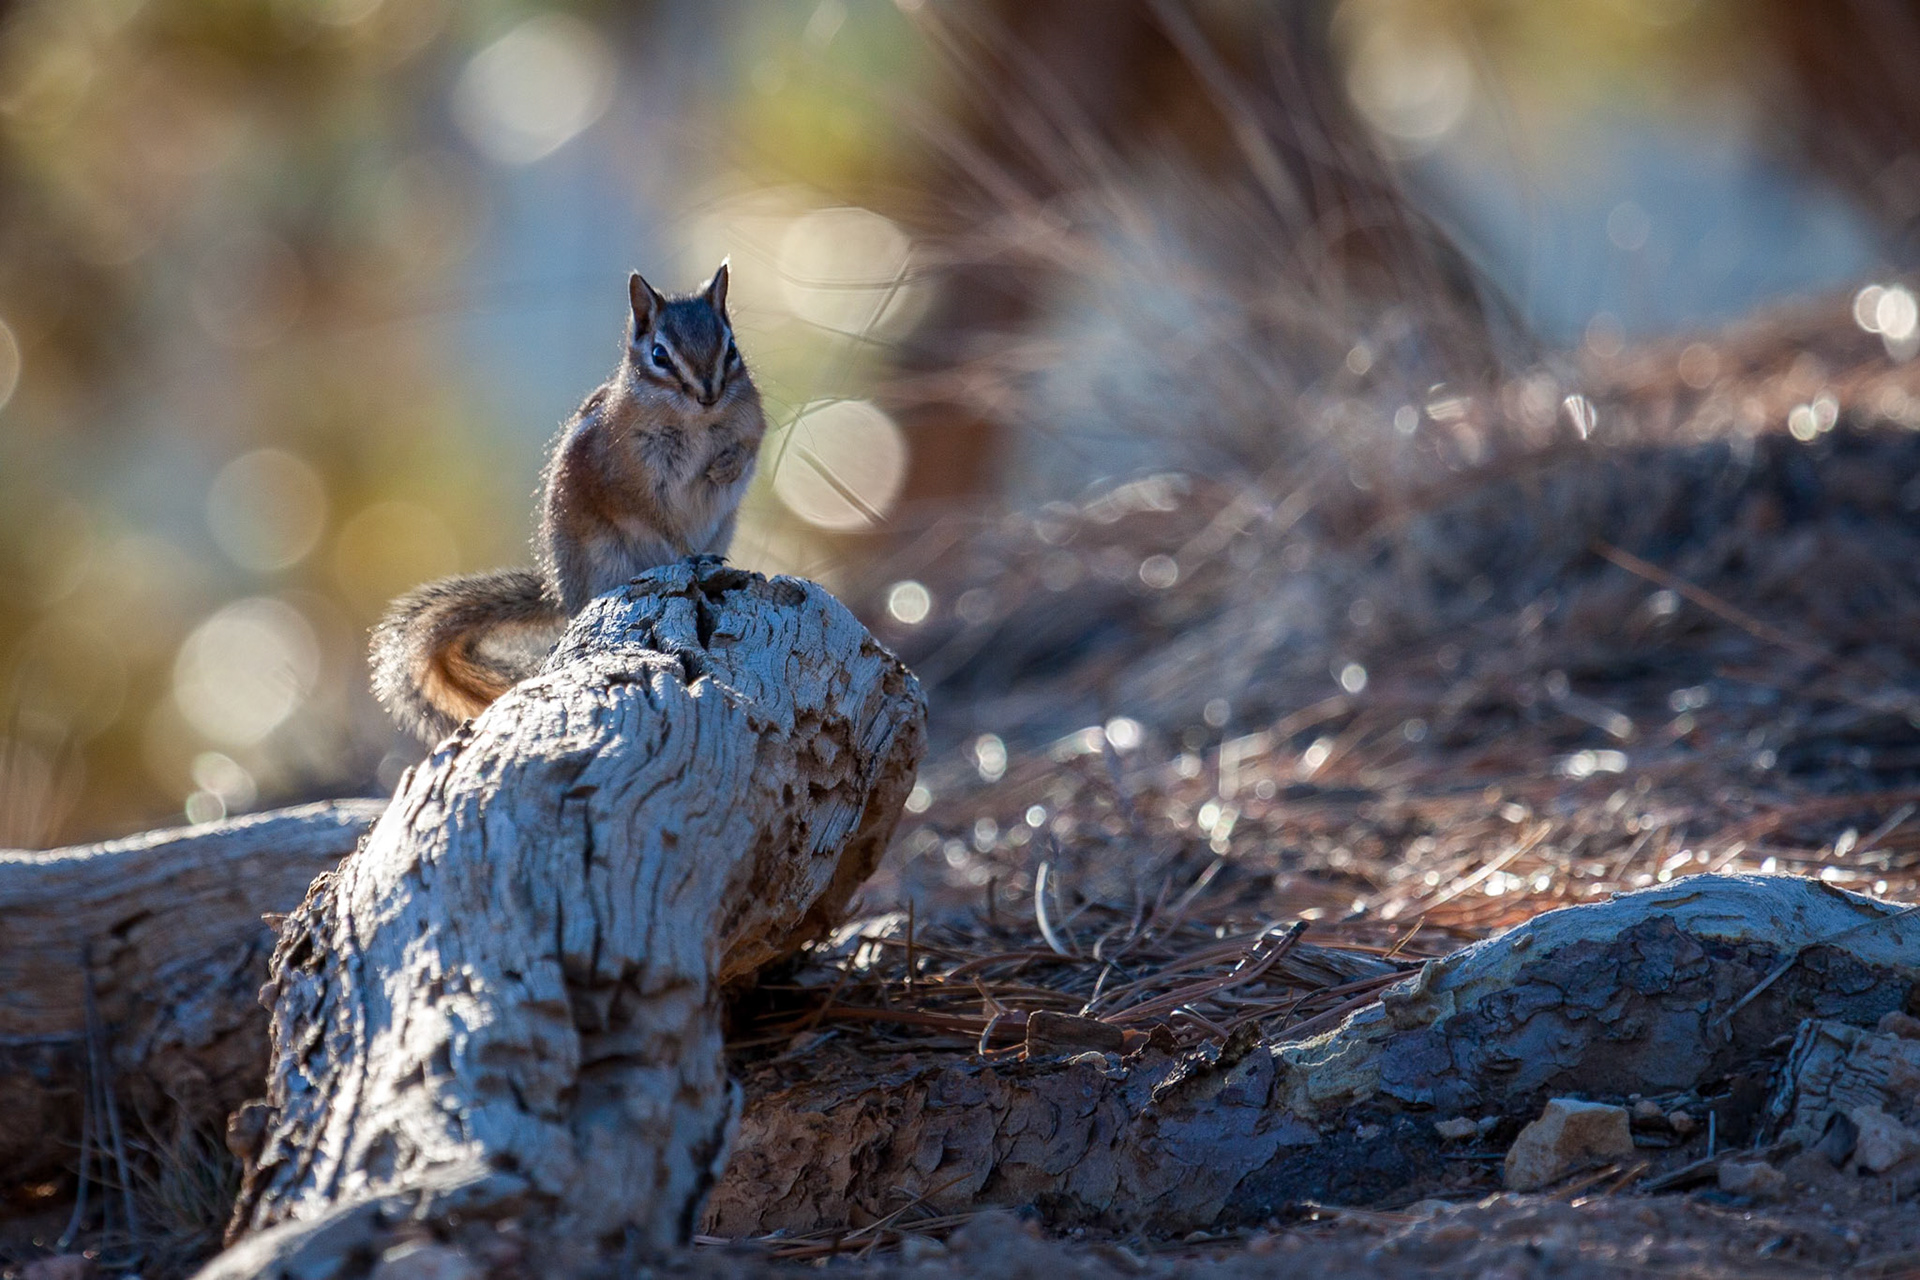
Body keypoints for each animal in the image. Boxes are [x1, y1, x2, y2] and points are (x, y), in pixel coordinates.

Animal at [370, 263, 766, 743]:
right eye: (660, 355)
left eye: (731, 349)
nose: (708, 394)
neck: (695, 421)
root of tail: (563, 592)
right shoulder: (624, 475)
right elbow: (654, 516)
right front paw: (688, 550)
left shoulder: (752, 420)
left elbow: (749, 447)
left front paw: (724, 468)